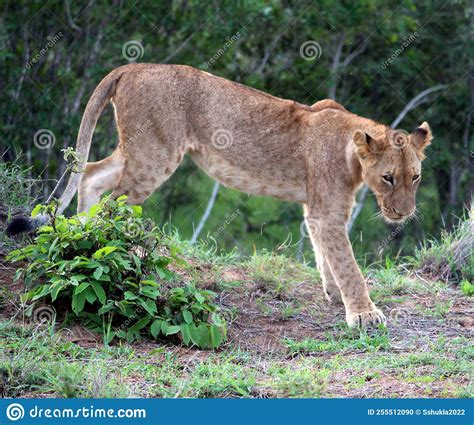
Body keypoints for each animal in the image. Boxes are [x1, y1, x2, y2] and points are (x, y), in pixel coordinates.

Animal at [8, 63, 434, 328]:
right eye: (388, 178)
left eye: (415, 177)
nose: (404, 214)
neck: (351, 151)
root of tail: (132, 67)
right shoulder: (327, 211)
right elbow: (349, 264)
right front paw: (363, 314)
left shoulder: (317, 210)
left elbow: (326, 254)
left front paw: (333, 294)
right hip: (154, 156)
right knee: (113, 203)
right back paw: (106, 252)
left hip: (141, 152)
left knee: (93, 175)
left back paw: (80, 241)